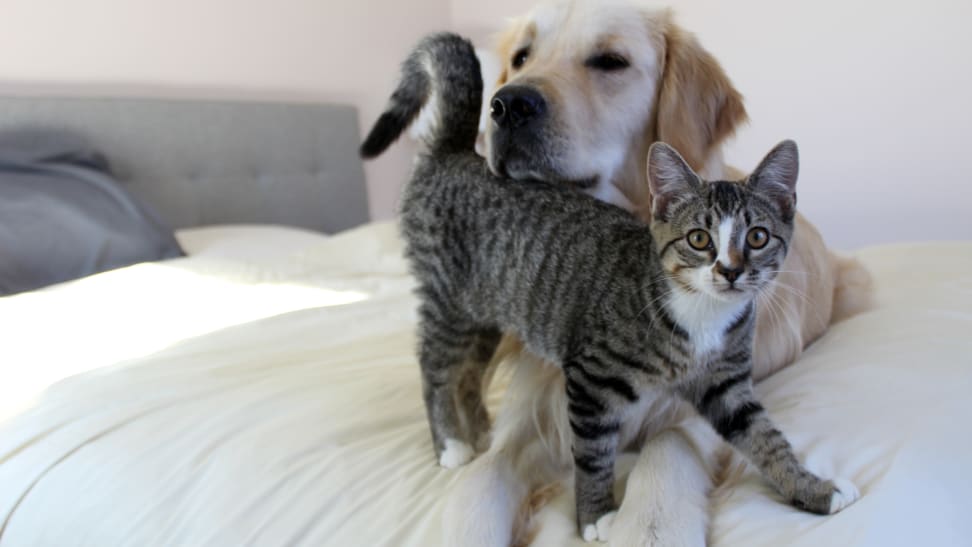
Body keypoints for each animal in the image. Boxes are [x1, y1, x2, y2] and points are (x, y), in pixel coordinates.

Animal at [360, 32, 856, 540]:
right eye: (699, 239)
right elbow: (594, 455)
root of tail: (457, 152)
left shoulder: (727, 385)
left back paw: (478, 427)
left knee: (470, 370)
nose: (730, 270)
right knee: (435, 365)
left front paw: (812, 488)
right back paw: (451, 444)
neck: (700, 313)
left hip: (486, 314)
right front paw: (596, 516)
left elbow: (765, 438)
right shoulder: (590, 380)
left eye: (757, 237)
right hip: (449, 298)